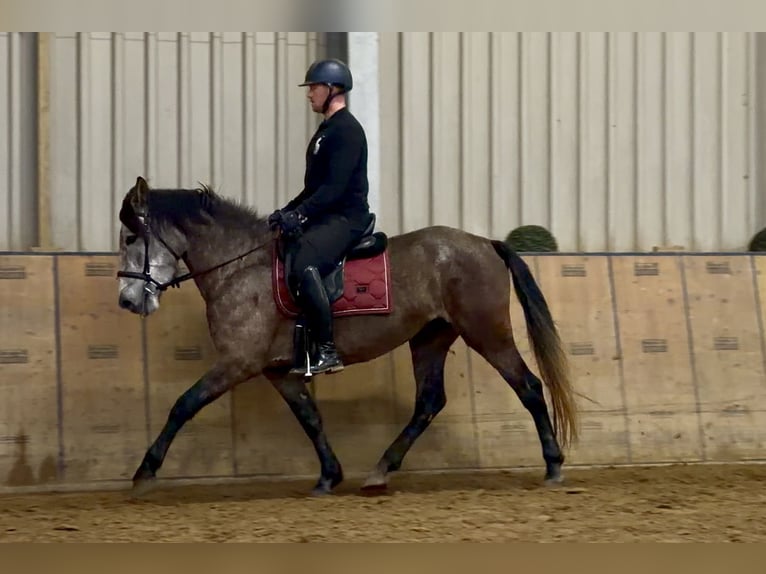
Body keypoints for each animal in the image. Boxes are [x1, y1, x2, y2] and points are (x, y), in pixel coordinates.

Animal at [115, 176, 580, 496]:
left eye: (132, 236)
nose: (127, 300)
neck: (239, 268)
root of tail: (485, 243)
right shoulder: (276, 370)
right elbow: (310, 418)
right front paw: (328, 476)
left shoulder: (237, 363)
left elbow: (183, 405)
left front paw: (144, 472)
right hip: (430, 337)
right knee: (429, 403)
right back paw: (379, 471)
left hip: (486, 332)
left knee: (528, 386)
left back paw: (553, 466)